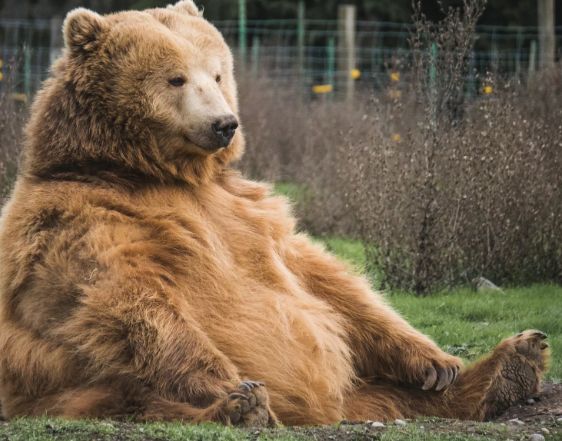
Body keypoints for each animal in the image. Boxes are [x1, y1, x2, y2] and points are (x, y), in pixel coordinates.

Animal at [0, 0, 548, 426]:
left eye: (217, 72)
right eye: (176, 78)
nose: (224, 123)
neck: (155, 173)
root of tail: (327, 409)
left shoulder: (247, 213)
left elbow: (326, 280)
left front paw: (436, 361)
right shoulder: (83, 220)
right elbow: (126, 300)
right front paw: (231, 385)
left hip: (361, 386)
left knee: (394, 392)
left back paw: (510, 365)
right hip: (58, 380)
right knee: (132, 396)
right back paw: (241, 408)